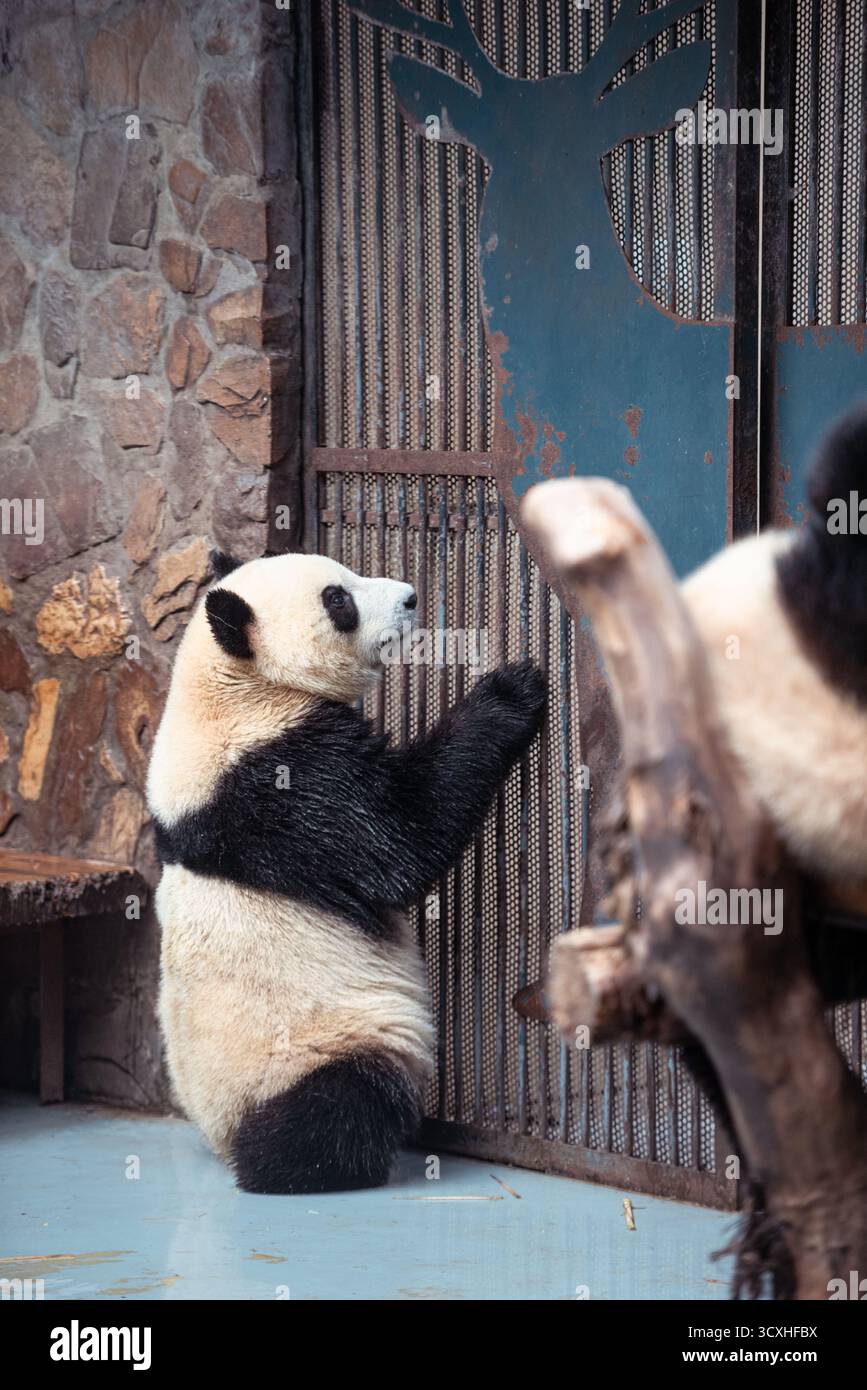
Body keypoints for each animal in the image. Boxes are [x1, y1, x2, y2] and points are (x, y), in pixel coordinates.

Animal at [147, 550, 546, 1194]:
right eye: (339, 600)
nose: (411, 597)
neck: (236, 687)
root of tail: (221, 1132)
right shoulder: (277, 779)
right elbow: (399, 839)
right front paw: (510, 688)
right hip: (315, 1047)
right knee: (340, 1105)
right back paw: (296, 1163)